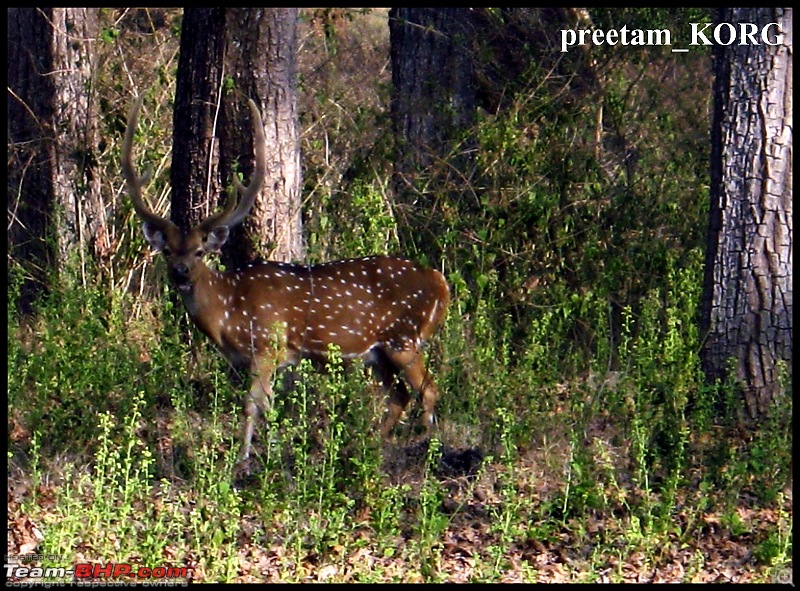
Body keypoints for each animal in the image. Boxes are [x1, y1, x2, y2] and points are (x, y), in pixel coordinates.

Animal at [122, 97, 454, 462]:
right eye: (167, 250)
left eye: (198, 251)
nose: (180, 272)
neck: (226, 311)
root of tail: (441, 282)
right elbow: (268, 405)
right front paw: (270, 452)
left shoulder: (268, 344)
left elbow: (254, 403)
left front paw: (246, 458)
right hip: (379, 352)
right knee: (399, 396)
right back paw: (368, 446)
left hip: (404, 337)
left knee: (429, 390)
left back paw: (424, 447)